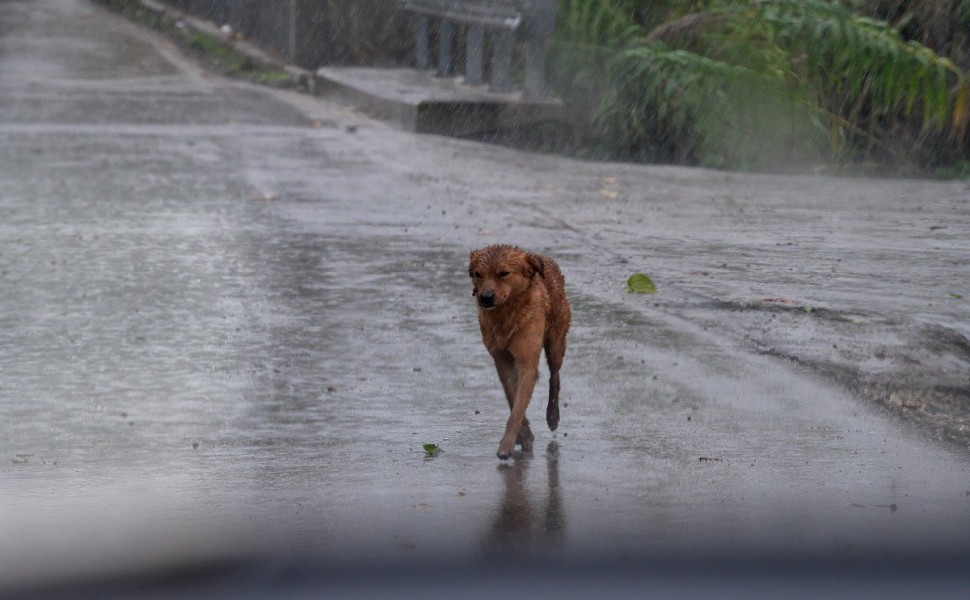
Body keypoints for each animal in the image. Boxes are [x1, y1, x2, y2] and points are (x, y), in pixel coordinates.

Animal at [466, 244, 568, 460]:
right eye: (478, 274)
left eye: (504, 273)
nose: (485, 298)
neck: (506, 314)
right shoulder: (501, 359)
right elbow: (512, 397)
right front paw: (525, 435)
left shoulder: (527, 361)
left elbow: (518, 406)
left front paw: (507, 445)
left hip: (556, 340)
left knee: (555, 375)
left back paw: (553, 416)